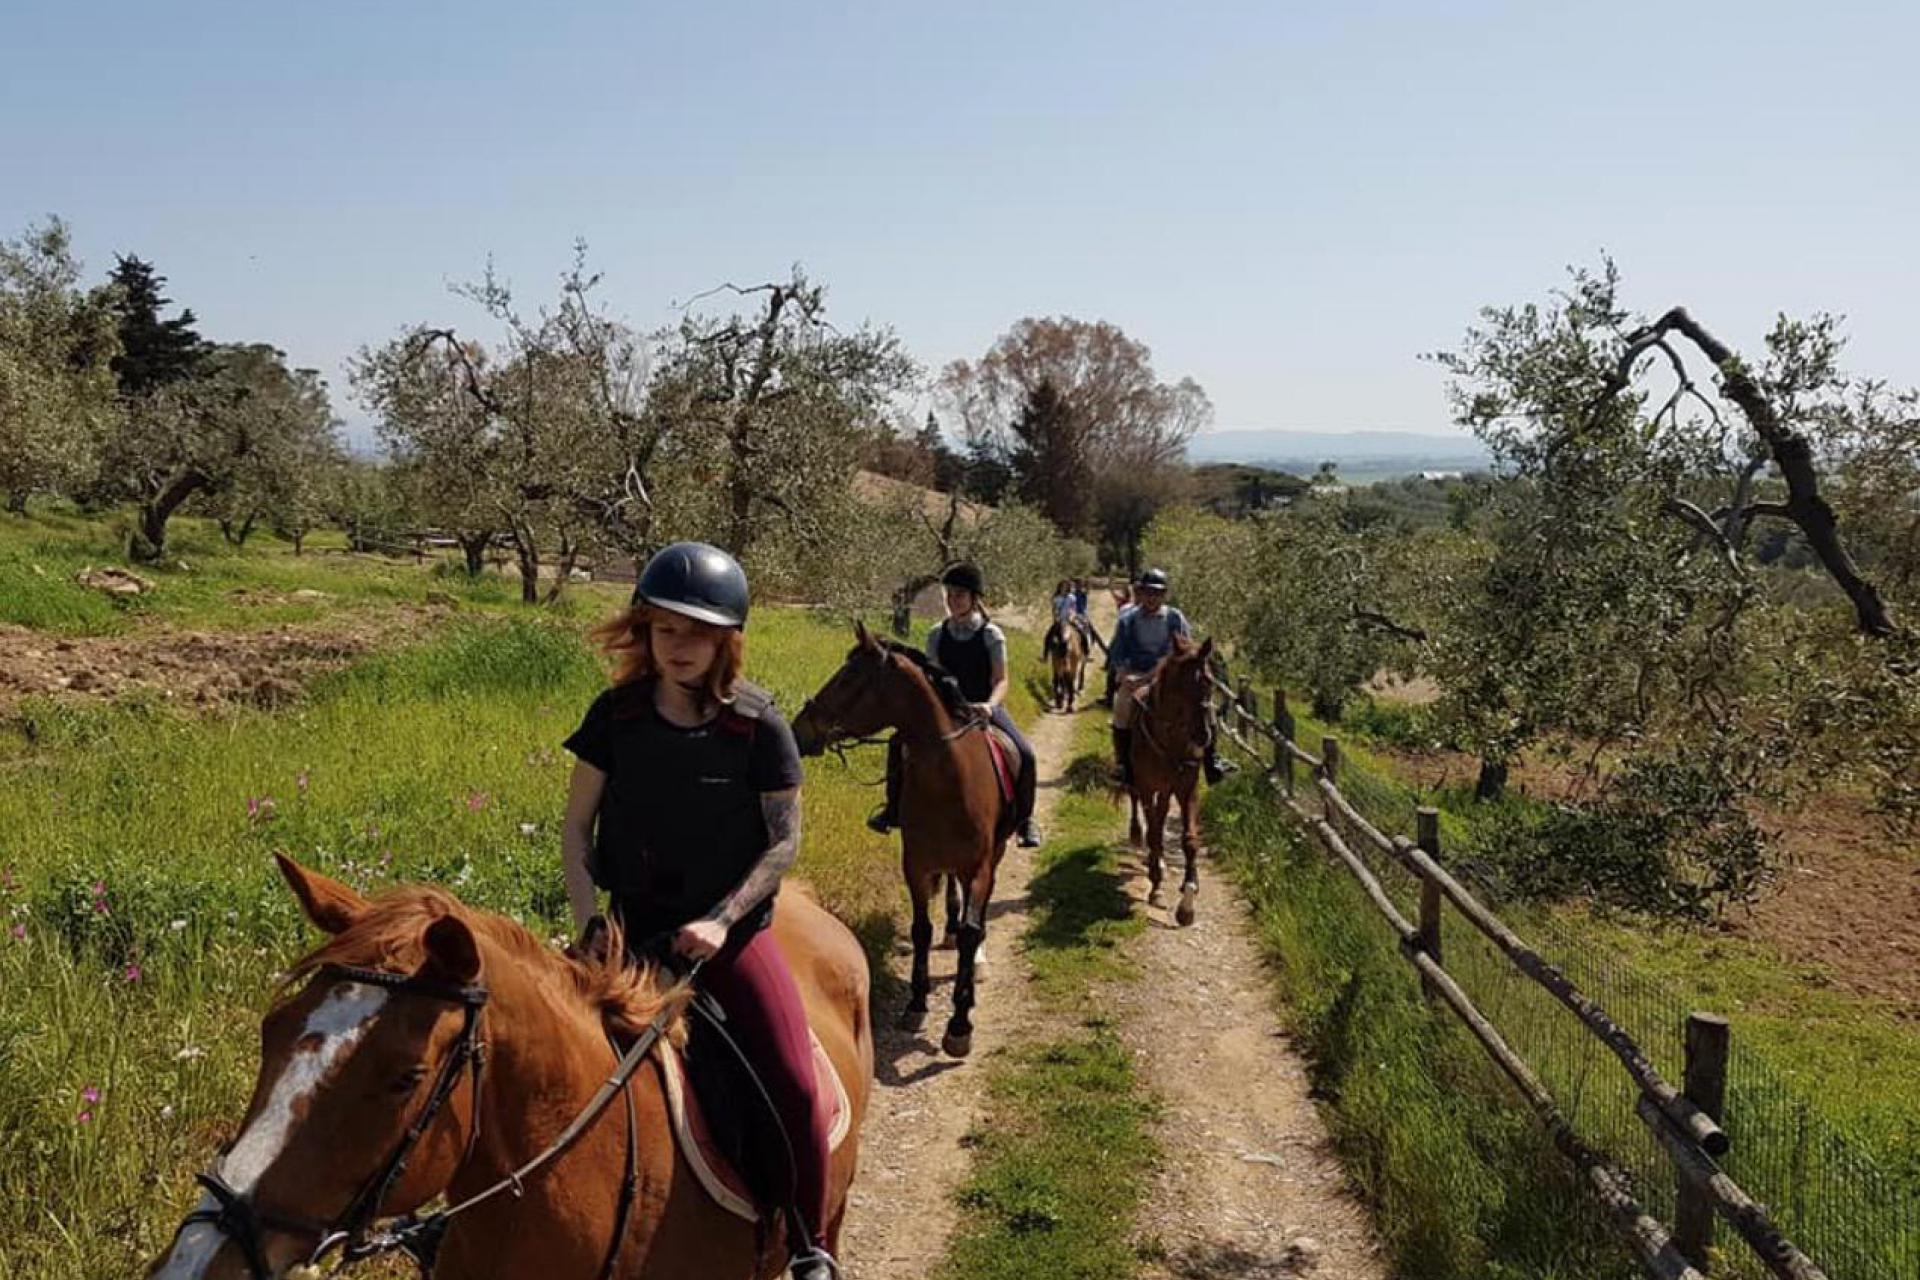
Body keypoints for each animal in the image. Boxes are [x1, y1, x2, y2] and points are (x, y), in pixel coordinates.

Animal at [787, 621, 1013, 1059]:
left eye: (849, 678)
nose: (798, 730)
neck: (950, 782)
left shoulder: (978, 867)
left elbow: (973, 929)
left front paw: (959, 1024)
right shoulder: (917, 864)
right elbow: (921, 929)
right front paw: (916, 1004)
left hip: (993, 857)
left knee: (976, 916)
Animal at [1121, 633, 1213, 924]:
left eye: (1209, 681)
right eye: (1182, 684)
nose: (1203, 735)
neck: (1172, 739)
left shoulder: (1187, 789)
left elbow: (1190, 840)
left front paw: (1187, 902)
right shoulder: (1147, 787)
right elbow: (1154, 834)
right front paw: (1157, 886)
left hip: (1167, 790)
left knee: (1160, 817)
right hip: (1142, 785)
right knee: (1141, 810)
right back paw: (1139, 838)